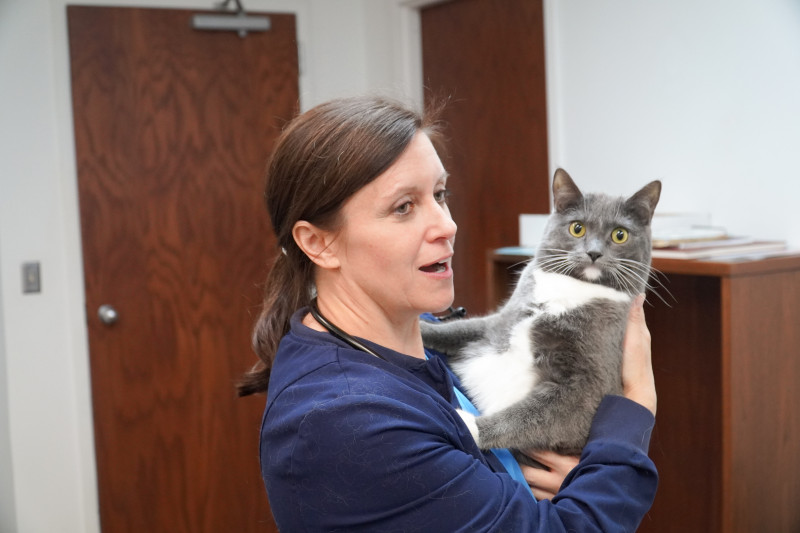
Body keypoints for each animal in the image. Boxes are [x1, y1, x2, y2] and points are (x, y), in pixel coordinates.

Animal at [422, 168, 660, 456]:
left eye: (620, 235)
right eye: (577, 228)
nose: (593, 252)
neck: (573, 288)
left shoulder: (592, 383)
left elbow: (529, 415)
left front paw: (470, 427)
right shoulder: (500, 323)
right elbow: (457, 329)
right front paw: (422, 328)